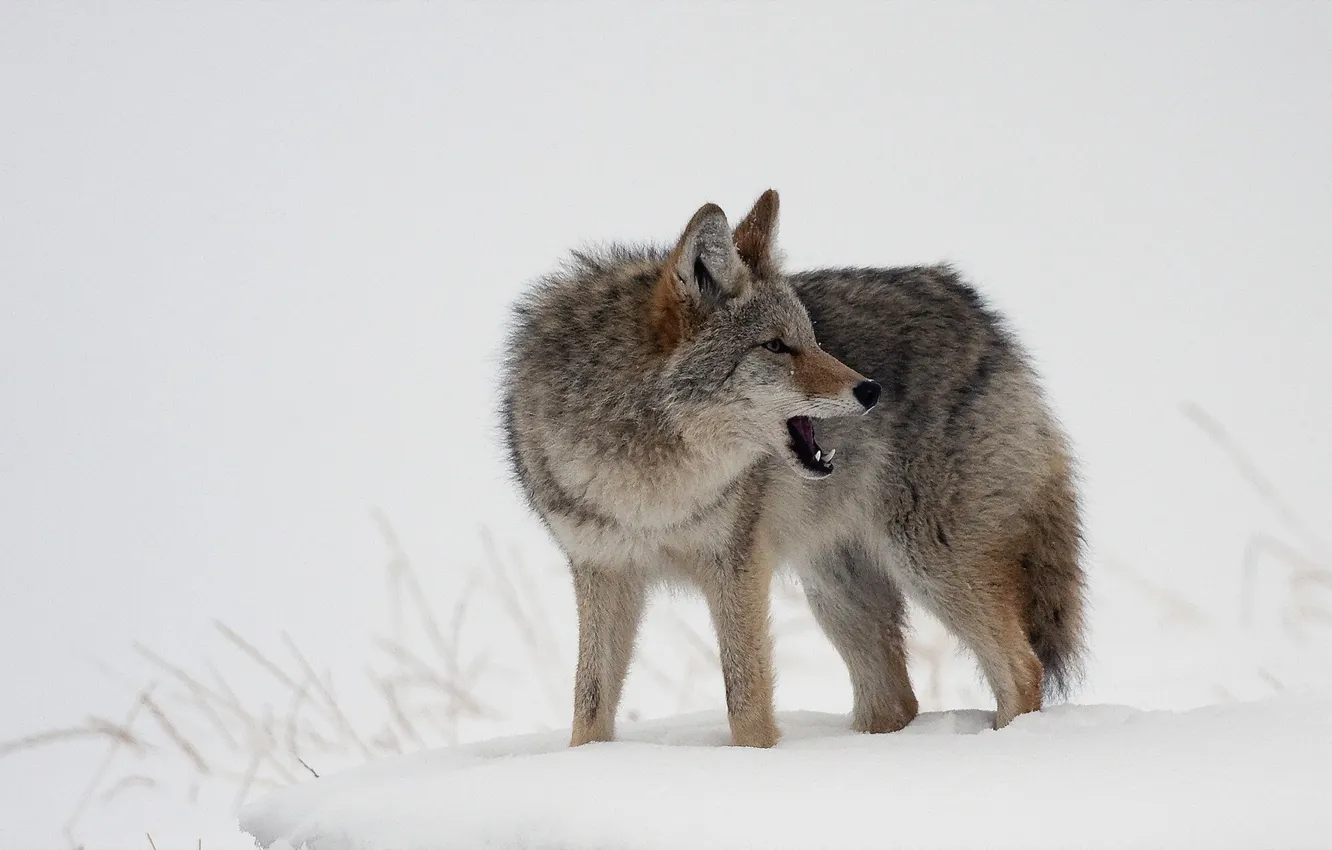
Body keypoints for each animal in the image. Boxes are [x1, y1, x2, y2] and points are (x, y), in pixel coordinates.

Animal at [501, 190, 1084, 748]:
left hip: (929, 564)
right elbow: (589, 707)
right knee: (896, 700)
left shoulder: (737, 567)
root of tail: (975, 308)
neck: (653, 481)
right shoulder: (602, 571)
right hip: (834, 586)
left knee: (1021, 668)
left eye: (811, 338)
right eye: (777, 346)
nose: (871, 390)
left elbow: (746, 702)